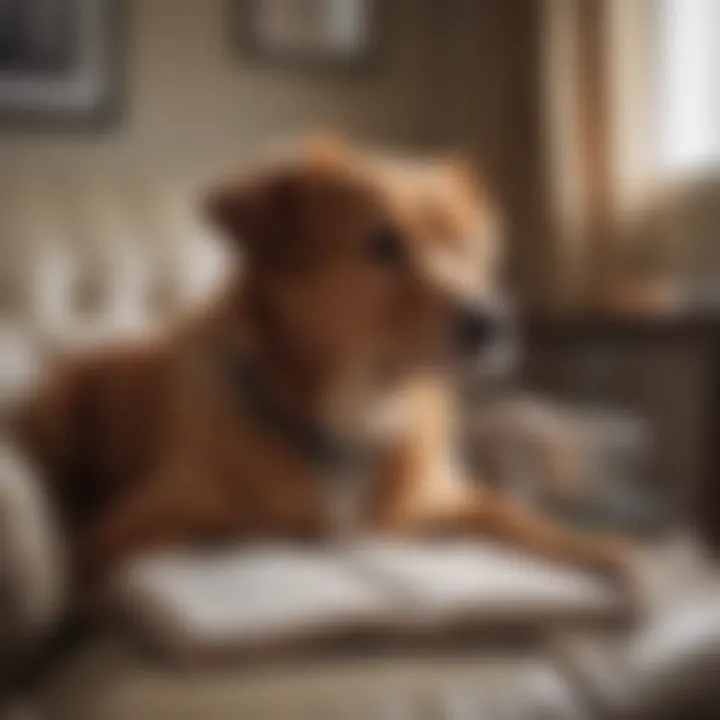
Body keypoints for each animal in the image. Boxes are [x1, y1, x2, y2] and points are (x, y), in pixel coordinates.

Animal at [11, 138, 632, 592]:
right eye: (383, 243)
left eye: (469, 247)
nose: (493, 322)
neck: (357, 418)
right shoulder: (128, 531)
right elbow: (194, 536)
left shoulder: (447, 498)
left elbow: (513, 516)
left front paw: (601, 552)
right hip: (58, 408)